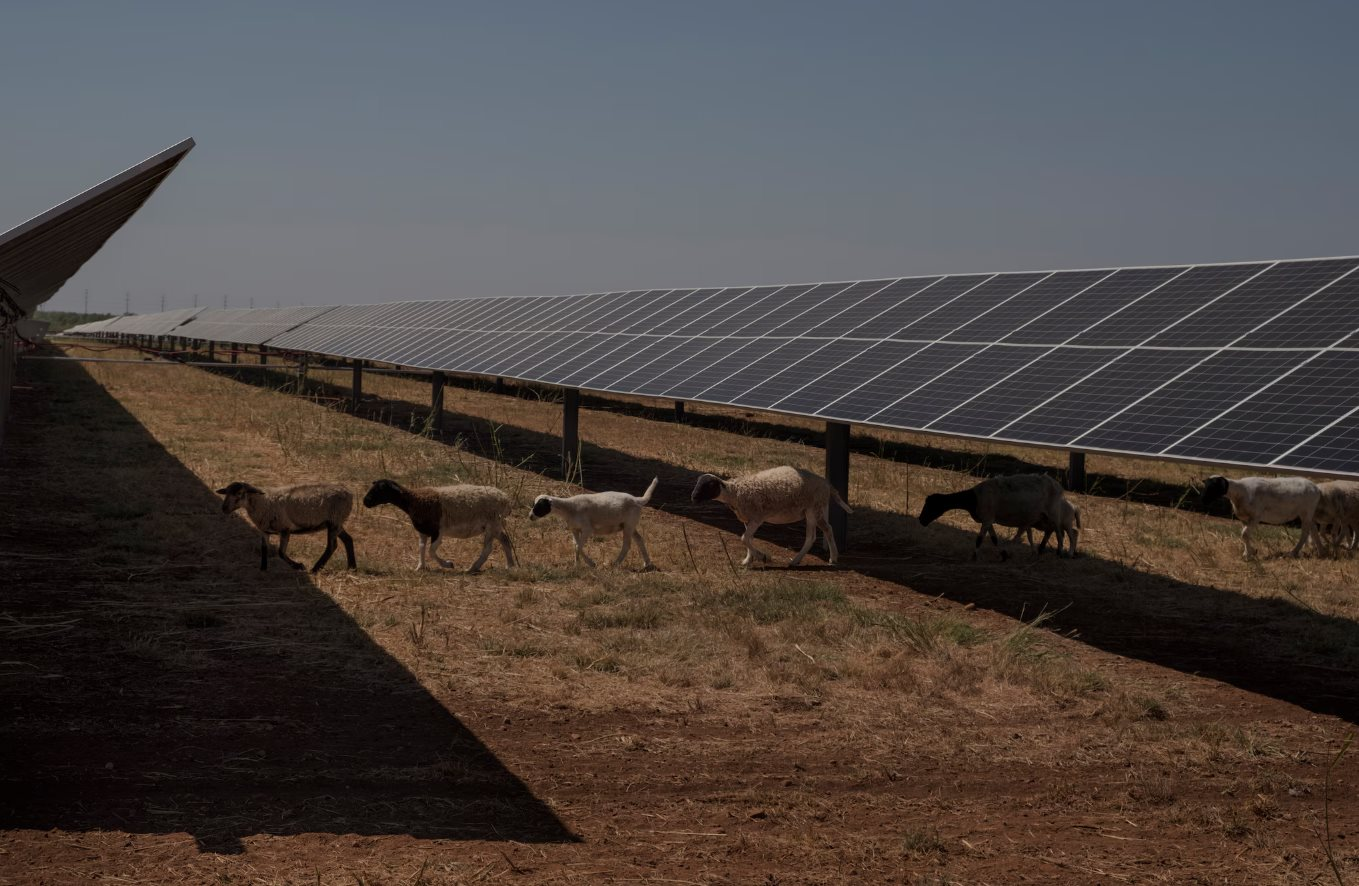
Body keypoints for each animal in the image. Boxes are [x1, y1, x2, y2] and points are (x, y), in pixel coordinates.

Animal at [216, 481, 356, 570]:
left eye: (240, 493)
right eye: (226, 493)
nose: (224, 508)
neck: (263, 502)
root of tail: (348, 491)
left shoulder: (285, 529)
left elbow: (281, 553)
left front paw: (299, 566)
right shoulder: (265, 531)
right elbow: (264, 549)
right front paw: (263, 569)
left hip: (334, 520)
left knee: (332, 546)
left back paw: (315, 569)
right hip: (337, 522)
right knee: (348, 539)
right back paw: (352, 567)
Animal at [364, 481, 516, 570]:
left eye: (378, 490)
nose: (365, 502)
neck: (413, 501)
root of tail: (506, 500)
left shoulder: (437, 532)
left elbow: (431, 551)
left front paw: (448, 564)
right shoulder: (423, 531)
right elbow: (421, 547)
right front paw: (420, 567)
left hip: (492, 523)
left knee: (488, 548)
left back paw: (473, 568)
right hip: (496, 525)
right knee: (505, 540)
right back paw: (510, 565)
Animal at [690, 464, 848, 568]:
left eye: (710, 485)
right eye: (697, 483)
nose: (693, 497)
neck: (735, 493)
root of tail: (827, 484)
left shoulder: (757, 517)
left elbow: (744, 538)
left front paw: (764, 557)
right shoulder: (747, 519)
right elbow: (748, 539)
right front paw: (748, 560)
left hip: (813, 509)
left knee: (814, 535)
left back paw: (799, 560)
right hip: (818, 509)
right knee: (827, 529)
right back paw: (829, 558)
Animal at [918, 472, 1065, 557]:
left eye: (931, 506)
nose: (921, 520)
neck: (974, 499)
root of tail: (1058, 486)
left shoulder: (987, 519)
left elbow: (979, 539)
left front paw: (974, 556)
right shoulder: (988, 520)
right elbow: (994, 539)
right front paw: (1002, 554)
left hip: (1053, 513)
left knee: (1059, 533)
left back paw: (1059, 552)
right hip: (1038, 517)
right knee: (1043, 532)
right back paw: (1038, 551)